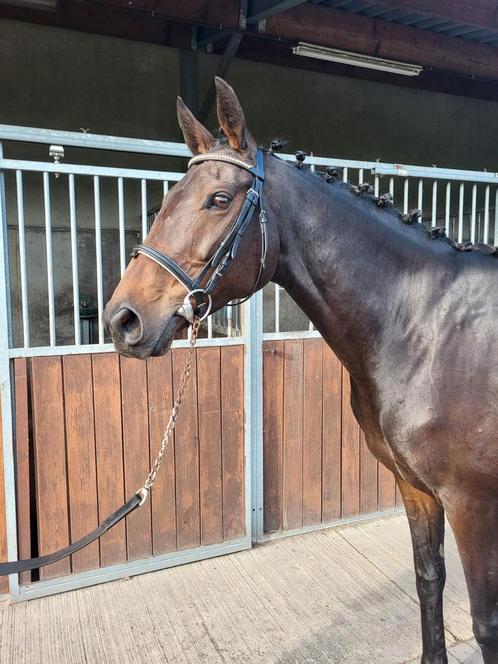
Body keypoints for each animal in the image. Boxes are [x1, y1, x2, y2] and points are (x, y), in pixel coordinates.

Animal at [103, 76, 496, 664]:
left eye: (220, 199)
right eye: (165, 201)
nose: (122, 320)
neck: (425, 325)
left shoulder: (473, 504)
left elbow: (485, 624)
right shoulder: (416, 489)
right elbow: (429, 581)